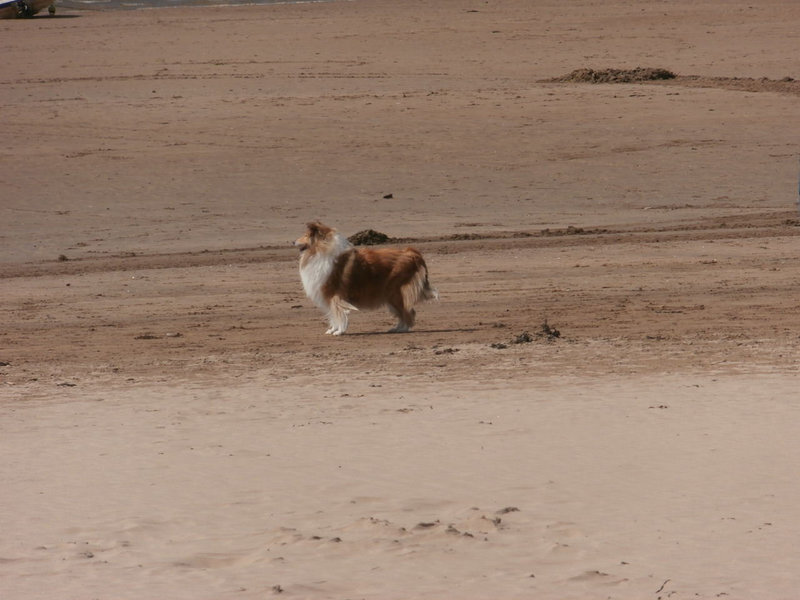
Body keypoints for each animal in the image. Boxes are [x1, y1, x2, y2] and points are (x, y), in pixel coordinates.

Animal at [296, 221, 438, 336]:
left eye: (306, 235)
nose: (293, 242)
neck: (320, 251)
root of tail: (412, 252)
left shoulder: (334, 295)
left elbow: (338, 314)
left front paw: (339, 331)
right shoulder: (328, 297)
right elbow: (333, 315)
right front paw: (332, 330)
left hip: (396, 293)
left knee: (409, 312)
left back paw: (403, 329)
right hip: (391, 296)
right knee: (404, 312)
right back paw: (396, 328)